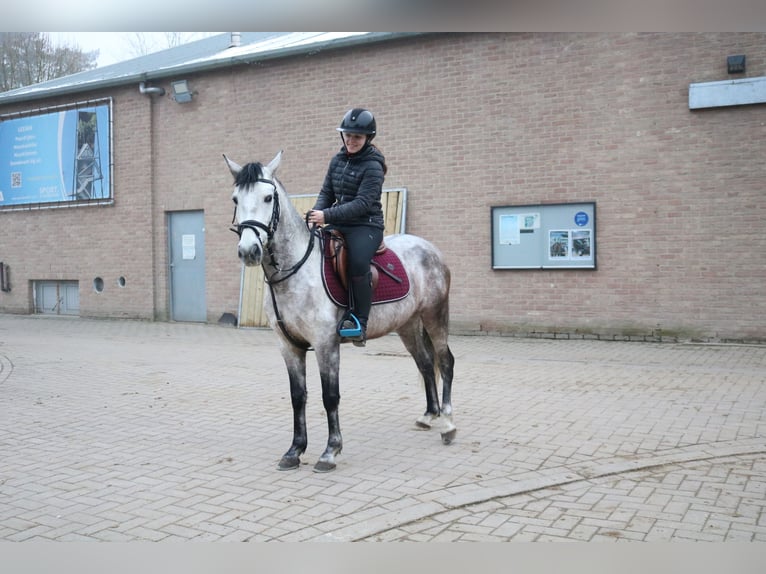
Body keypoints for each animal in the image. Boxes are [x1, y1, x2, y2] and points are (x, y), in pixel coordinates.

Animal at [225, 152, 460, 472]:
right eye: (236, 199)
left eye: (268, 197)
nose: (249, 251)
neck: (296, 272)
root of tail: (429, 248)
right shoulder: (288, 347)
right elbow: (298, 396)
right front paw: (294, 451)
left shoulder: (326, 344)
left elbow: (330, 396)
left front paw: (330, 451)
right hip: (408, 324)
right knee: (425, 363)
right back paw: (429, 415)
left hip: (435, 315)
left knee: (445, 361)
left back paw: (448, 425)